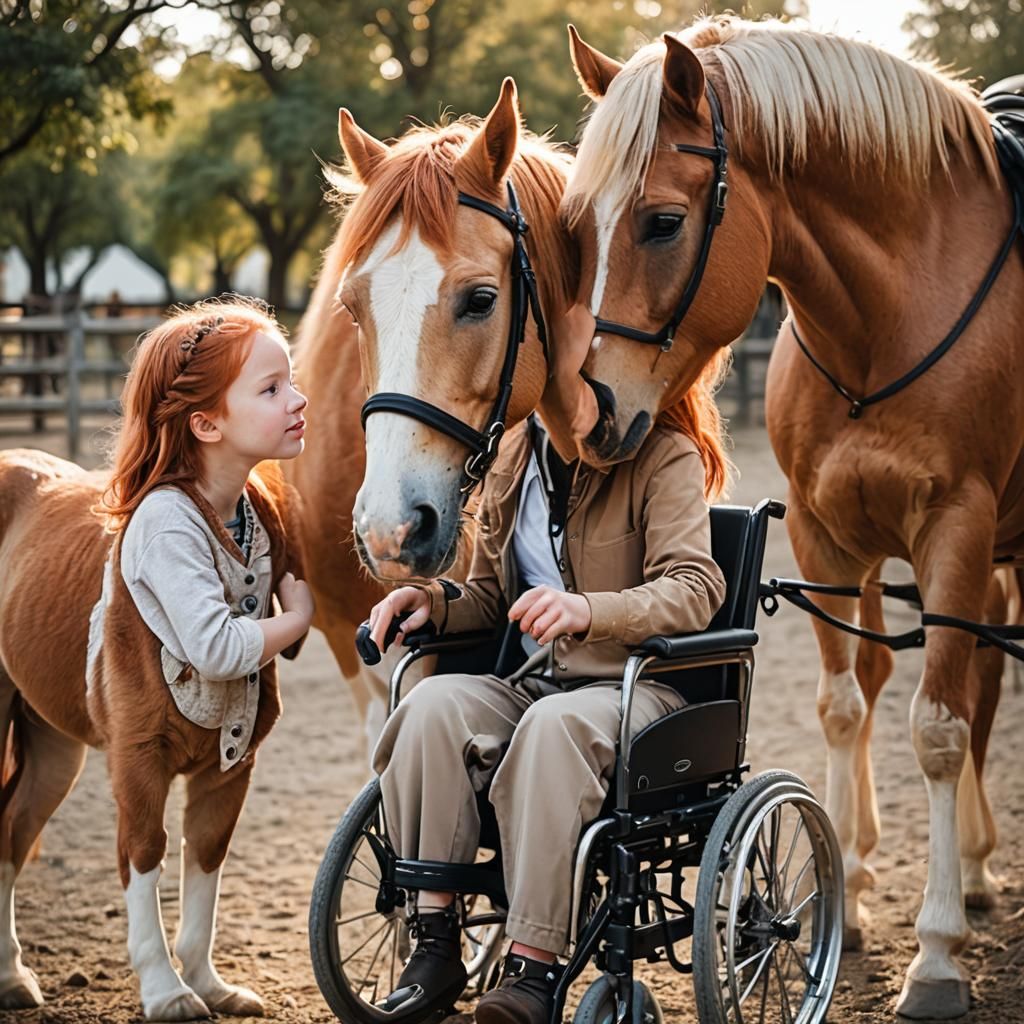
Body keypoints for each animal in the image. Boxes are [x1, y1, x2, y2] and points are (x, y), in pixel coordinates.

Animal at [557, 16, 1023, 1018]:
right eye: (577, 232)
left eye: (662, 222)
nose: (592, 414)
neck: (891, 316)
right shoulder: (822, 535)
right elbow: (845, 706)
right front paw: (837, 894)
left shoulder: (957, 533)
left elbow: (937, 727)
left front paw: (934, 957)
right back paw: (962, 867)